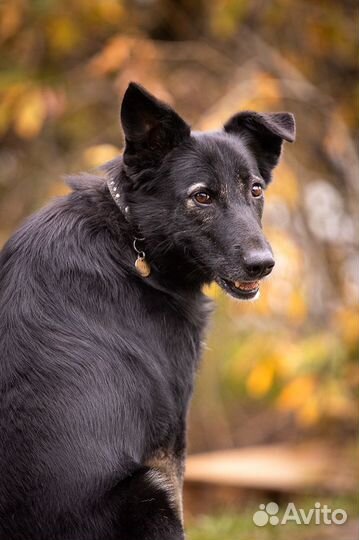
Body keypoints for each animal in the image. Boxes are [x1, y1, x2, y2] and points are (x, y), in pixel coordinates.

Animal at [0, 82, 296, 536]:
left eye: (256, 189)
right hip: (147, 489)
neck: (134, 236)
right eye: (202, 196)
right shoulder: (169, 434)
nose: (263, 264)